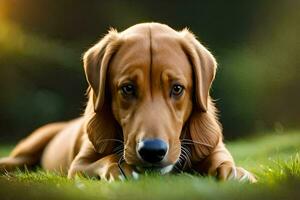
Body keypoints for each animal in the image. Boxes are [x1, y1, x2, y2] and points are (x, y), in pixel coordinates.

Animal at [1, 22, 256, 182]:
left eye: (177, 89)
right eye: (127, 88)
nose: (153, 151)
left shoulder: (215, 147)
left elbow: (223, 162)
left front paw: (235, 172)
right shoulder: (79, 165)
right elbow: (105, 159)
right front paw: (119, 167)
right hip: (32, 143)